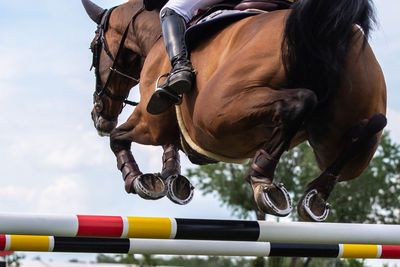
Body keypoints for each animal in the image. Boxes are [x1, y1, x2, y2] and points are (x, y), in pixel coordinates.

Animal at [83, 0, 386, 223]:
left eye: (93, 47)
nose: (99, 116)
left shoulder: (150, 121)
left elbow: (119, 138)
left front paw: (139, 180)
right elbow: (170, 144)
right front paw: (172, 178)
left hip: (216, 108)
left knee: (301, 102)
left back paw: (263, 178)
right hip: (332, 140)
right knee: (369, 127)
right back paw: (315, 195)